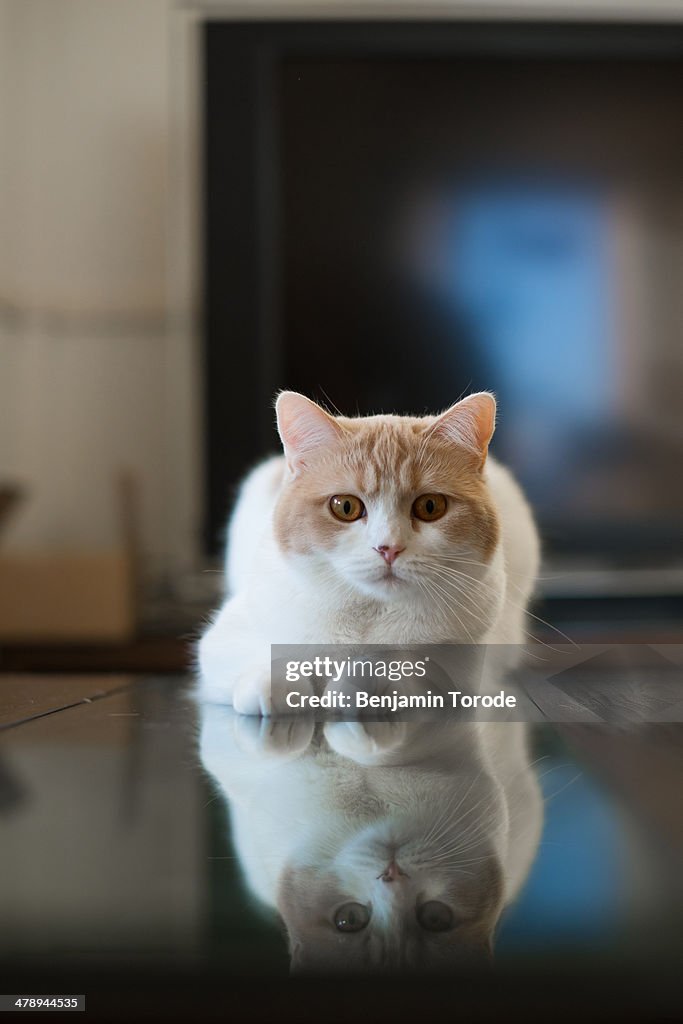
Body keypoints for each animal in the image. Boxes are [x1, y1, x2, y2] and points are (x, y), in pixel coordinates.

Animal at [197, 389, 540, 712]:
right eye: (345, 507)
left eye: (430, 506)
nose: (388, 548)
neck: (367, 614)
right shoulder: (226, 637)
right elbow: (264, 654)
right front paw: (273, 683)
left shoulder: (457, 669)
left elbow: (400, 666)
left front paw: (361, 683)